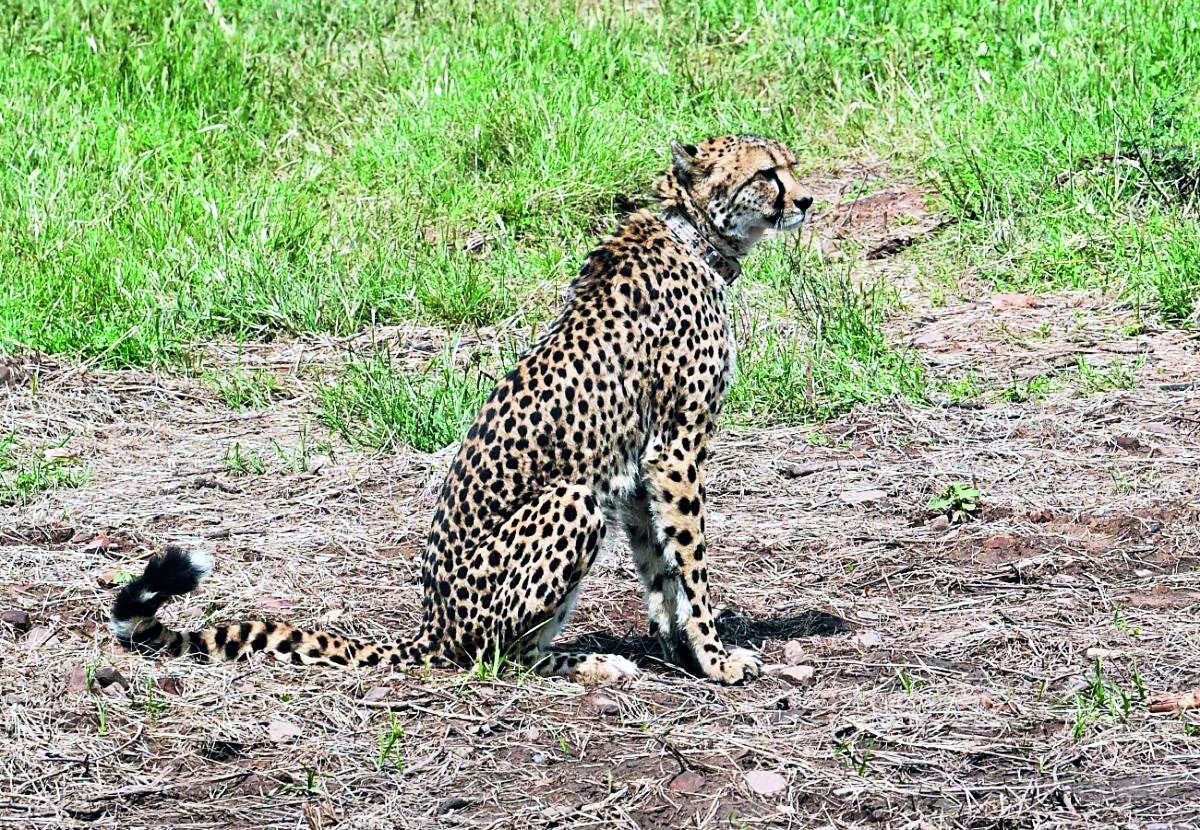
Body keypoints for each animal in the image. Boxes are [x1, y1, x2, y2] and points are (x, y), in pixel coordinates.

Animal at [108, 134, 813, 685]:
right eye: (766, 173)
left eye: (792, 165)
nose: (805, 200)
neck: (694, 235)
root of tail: (432, 621)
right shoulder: (675, 447)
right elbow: (690, 563)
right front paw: (716, 658)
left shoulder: (640, 464)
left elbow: (658, 565)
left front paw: (676, 647)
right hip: (571, 500)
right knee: (491, 656)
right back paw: (588, 663)